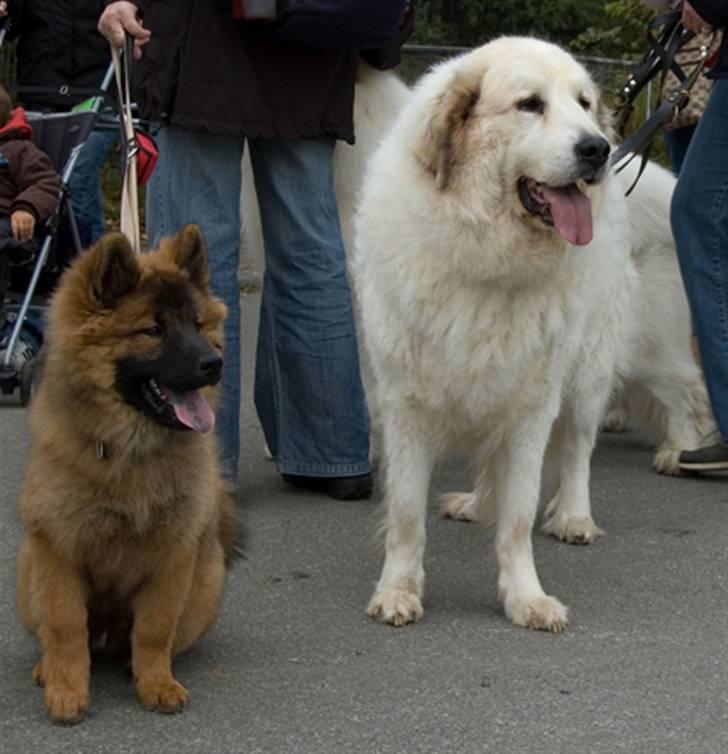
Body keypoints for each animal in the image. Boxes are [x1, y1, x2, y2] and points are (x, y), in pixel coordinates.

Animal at [16, 225, 239, 724]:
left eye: (198, 325)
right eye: (153, 330)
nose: (213, 364)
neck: (131, 452)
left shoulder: (173, 556)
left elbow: (154, 628)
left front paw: (155, 683)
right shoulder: (56, 548)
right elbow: (65, 625)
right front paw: (66, 689)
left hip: (207, 584)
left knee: (139, 638)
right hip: (27, 571)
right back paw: (45, 667)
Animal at [352, 38, 712, 632]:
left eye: (584, 103)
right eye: (529, 105)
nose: (596, 149)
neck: (489, 258)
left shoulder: (531, 406)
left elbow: (519, 515)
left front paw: (526, 598)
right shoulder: (408, 405)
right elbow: (406, 514)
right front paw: (398, 591)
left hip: (588, 375)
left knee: (583, 447)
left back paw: (579, 512)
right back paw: (477, 505)